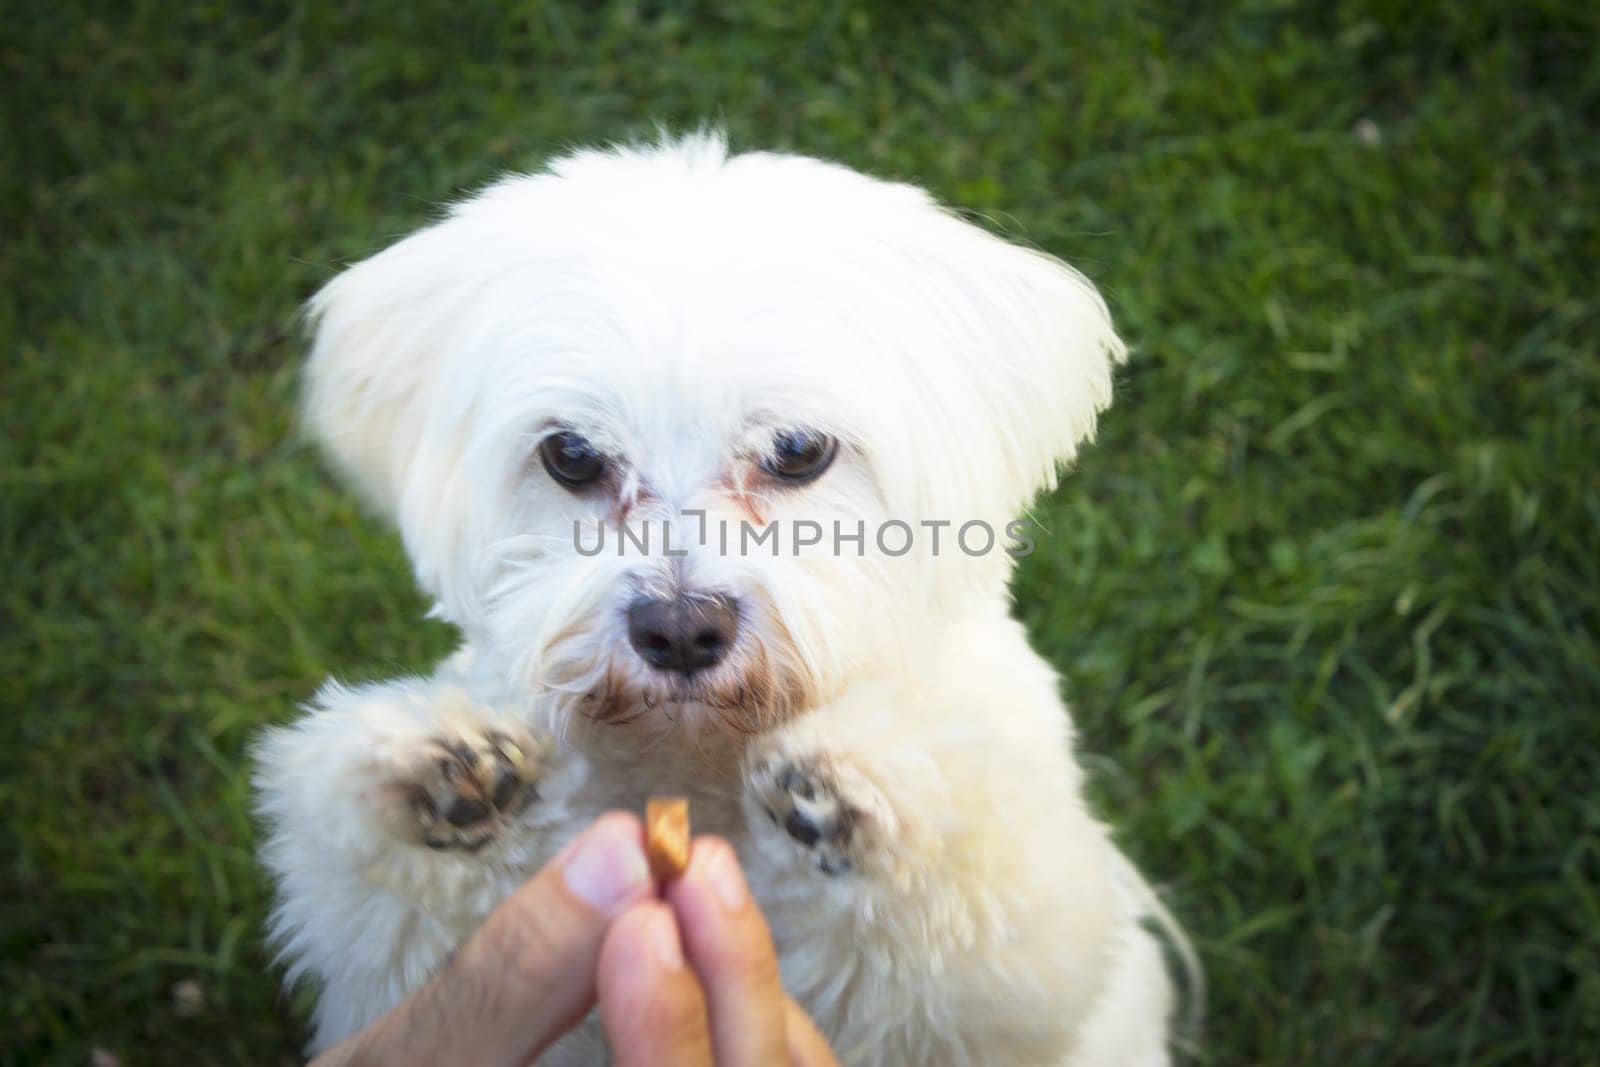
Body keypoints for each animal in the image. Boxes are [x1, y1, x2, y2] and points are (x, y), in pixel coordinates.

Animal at [256, 133, 1196, 1067]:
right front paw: (434, 772)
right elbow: (387, 922)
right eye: (571, 454)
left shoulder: (1007, 977)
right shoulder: (404, 981)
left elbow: (977, 929)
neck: (699, 759)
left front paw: (866, 786)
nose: (678, 629)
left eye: (799, 448)